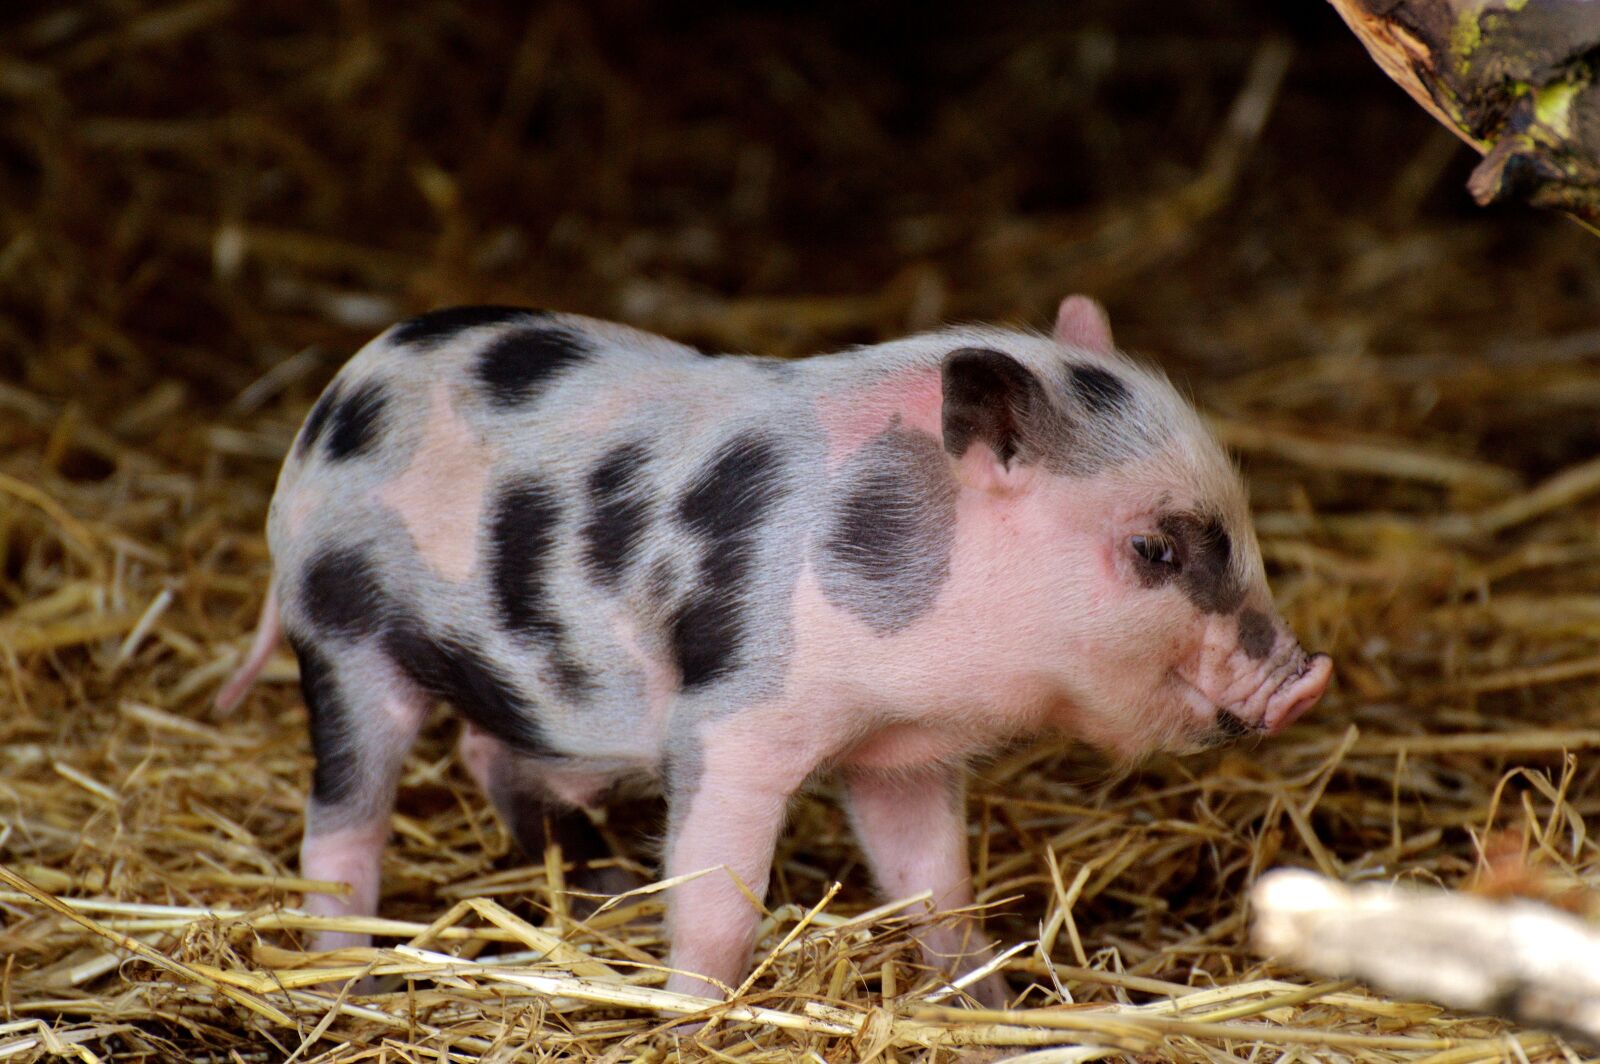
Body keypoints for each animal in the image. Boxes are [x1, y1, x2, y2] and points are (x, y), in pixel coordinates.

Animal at [215, 295, 1332, 1006]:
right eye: (1154, 550)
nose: (1305, 679)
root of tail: (326, 410)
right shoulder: (734, 715)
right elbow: (717, 892)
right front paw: (691, 1012)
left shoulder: (901, 752)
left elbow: (936, 880)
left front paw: (990, 1000)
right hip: (345, 633)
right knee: (342, 823)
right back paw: (352, 979)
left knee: (489, 750)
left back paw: (592, 888)